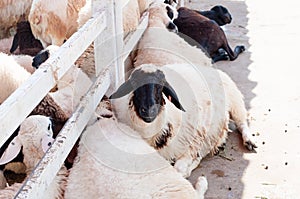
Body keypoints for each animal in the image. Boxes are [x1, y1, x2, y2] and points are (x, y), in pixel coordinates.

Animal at [110, 63, 258, 178]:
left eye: (161, 85)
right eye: (134, 84)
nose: (149, 110)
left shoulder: (192, 143)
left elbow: (179, 169)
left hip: (235, 99)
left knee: (242, 122)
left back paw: (249, 141)